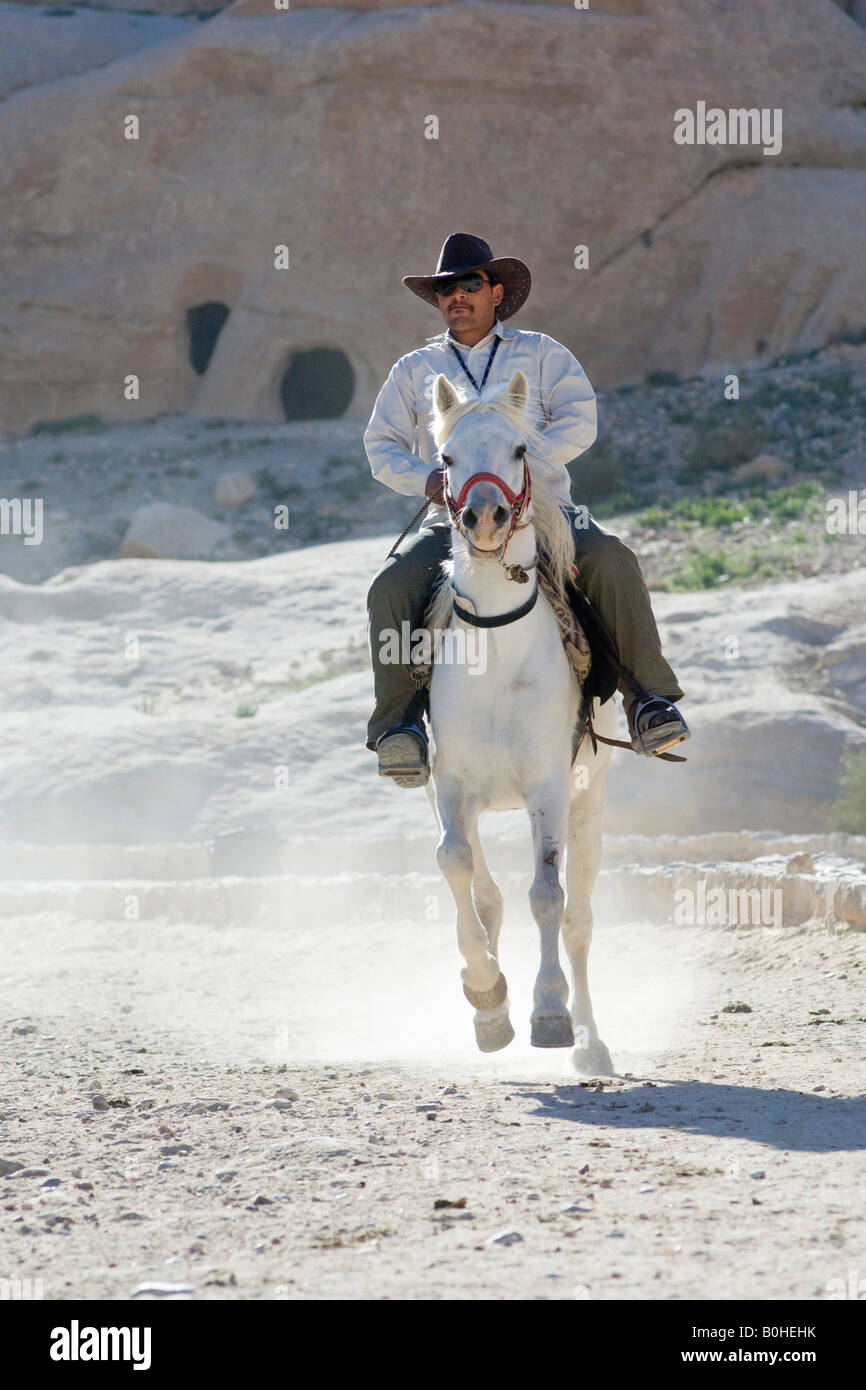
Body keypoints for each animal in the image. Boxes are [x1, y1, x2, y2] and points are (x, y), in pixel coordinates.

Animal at [425, 369, 617, 1073]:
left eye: (518, 449)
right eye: (447, 458)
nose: (485, 516)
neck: (497, 653)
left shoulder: (549, 789)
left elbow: (547, 895)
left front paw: (551, 1012)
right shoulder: (451, 785)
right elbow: (460, 871)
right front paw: (487, 996)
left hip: (590, 800)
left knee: (580, 917)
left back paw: (592, 1042)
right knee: (488, 892)